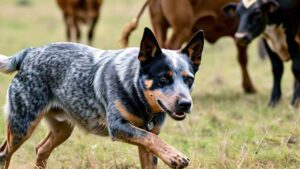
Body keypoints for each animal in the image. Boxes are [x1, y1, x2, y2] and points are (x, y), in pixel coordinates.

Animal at [0, 28, 204, 169]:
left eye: (189, 79)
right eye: (163, 78)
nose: (185, 104)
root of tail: (30, 52)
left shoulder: (148, 139)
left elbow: (151, 139)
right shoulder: (117, 126)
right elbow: (152, 139)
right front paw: (175, 156)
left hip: (62, 129)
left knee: (41, 149)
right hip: (22, 125)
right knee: (4, 153)